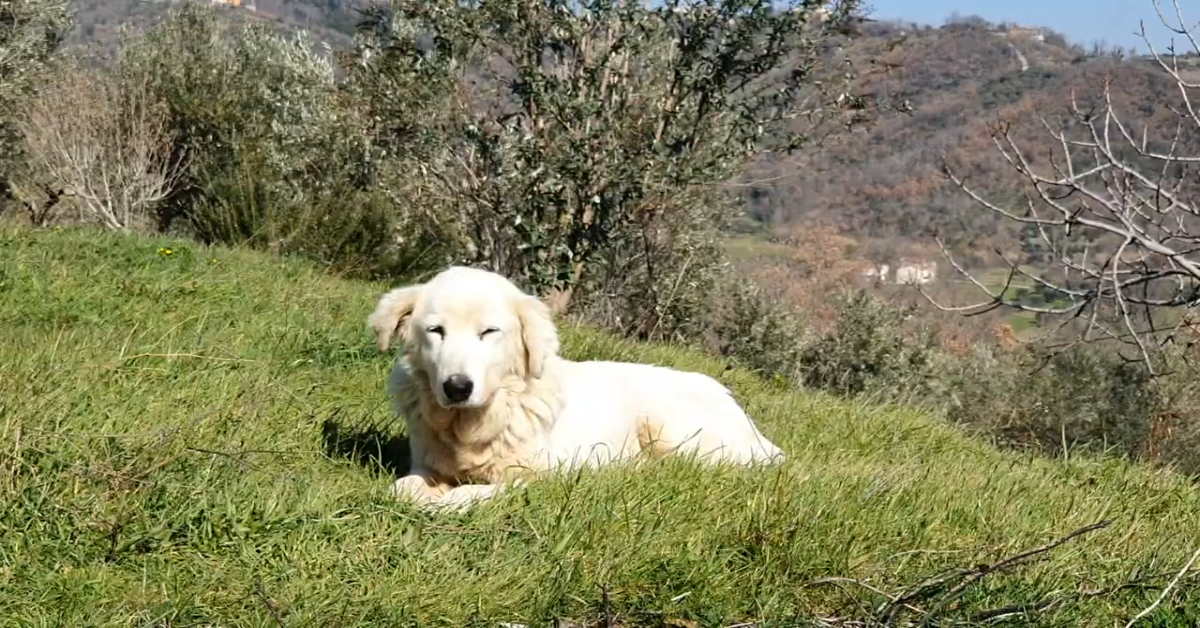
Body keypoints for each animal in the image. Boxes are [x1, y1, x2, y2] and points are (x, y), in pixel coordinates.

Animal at [369, 266, 782, 511]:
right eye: (435, 331)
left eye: (489, 332)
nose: (457, 387)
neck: (473, 427)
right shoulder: (425, 465)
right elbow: (401, 488)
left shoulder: (540, 477)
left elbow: (475, 492)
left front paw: (446, 501)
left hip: (675, 433)